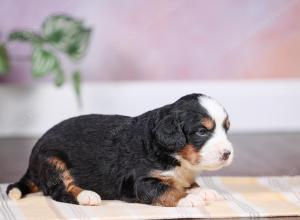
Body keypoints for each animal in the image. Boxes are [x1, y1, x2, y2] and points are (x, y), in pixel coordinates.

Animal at [6, 93, 232, 207]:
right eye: (202, 131)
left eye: (226, 128)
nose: (227, 153)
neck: (175, 156)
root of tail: (31, 163)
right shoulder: (140, 182)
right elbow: (167, 190)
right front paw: (189, 198)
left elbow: (187, 184)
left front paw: (204, 191)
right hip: (53, 161)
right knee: (60, 190)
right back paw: (87, 195)